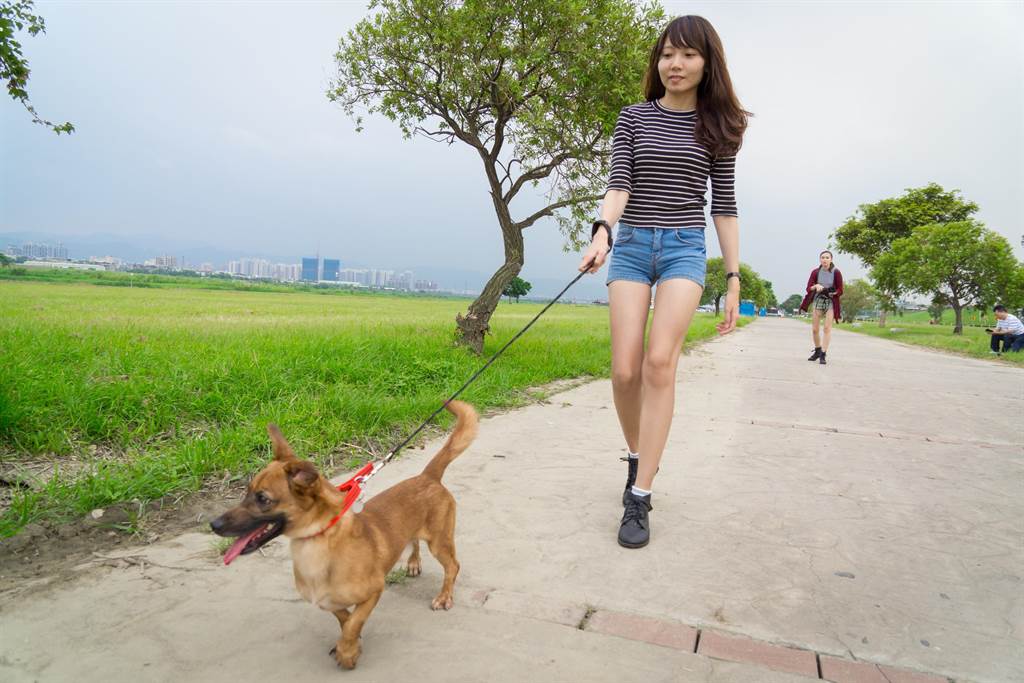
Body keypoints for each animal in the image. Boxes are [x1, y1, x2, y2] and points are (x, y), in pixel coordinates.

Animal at [210, 401, 479, 667]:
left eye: (263, 499)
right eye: (246, 492)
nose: (214, 524)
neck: (318, 543)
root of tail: (428, 477)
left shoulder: (374, 591)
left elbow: (353, 623)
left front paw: (347, 652)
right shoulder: (327, 602)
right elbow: (344, 618)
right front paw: (350, 643)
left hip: (439, 542)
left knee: (452, 567)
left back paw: (444, 596)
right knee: (414, 541)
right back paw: (413, 563)